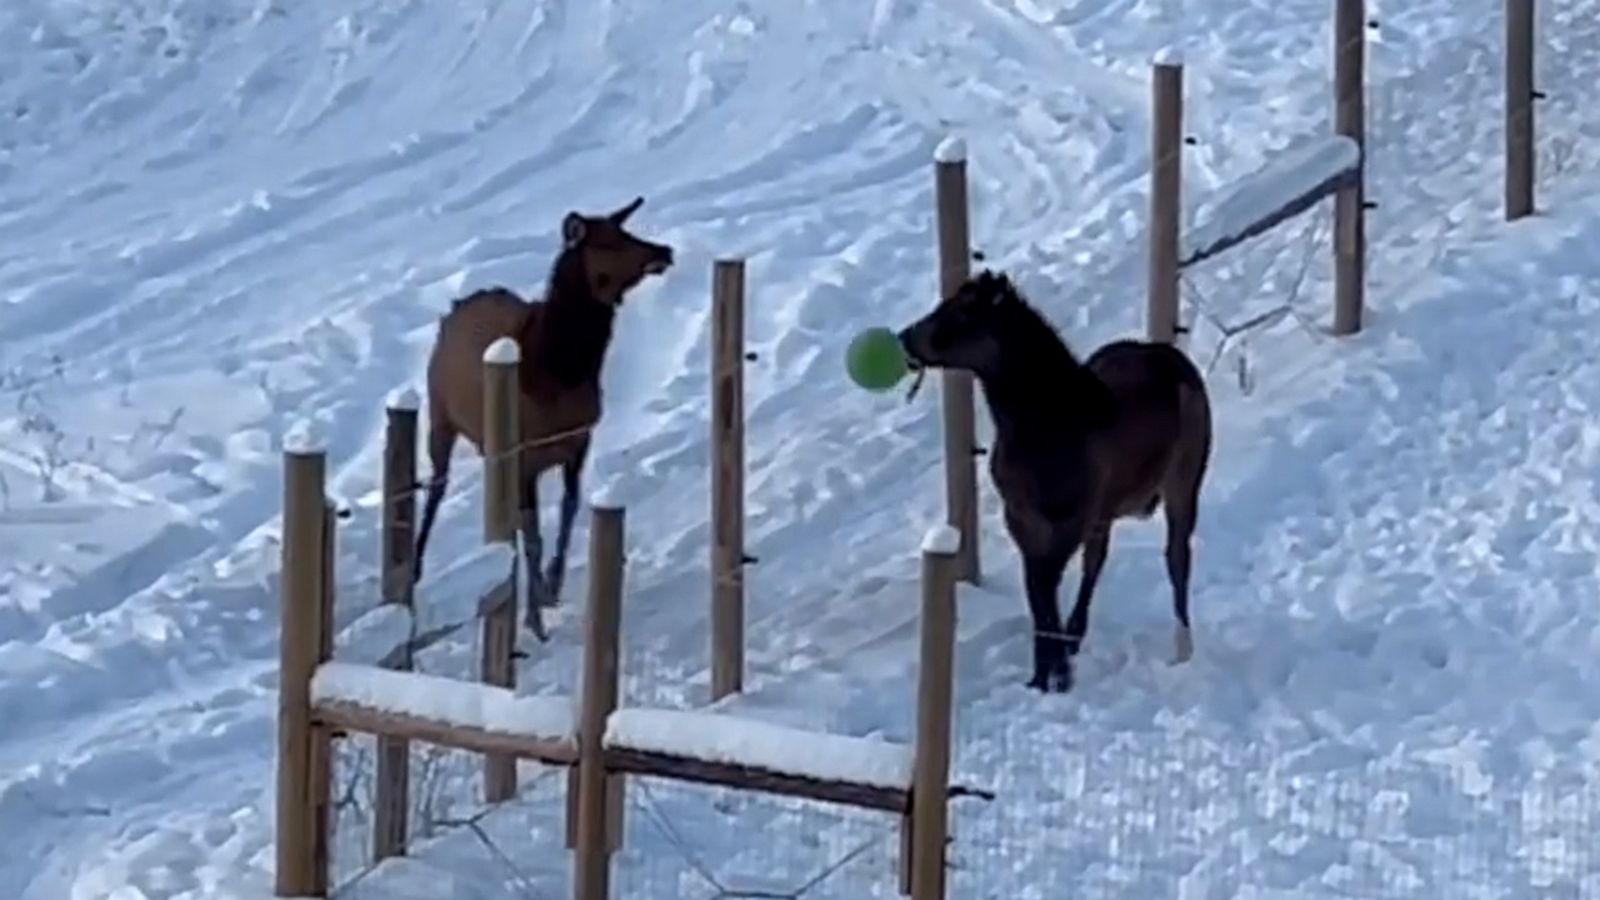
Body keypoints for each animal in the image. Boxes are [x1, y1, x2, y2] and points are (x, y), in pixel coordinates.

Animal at [413, 197, 674, 635]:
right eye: (607, 242)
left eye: (626, 230)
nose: (664, 251)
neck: (558, 372)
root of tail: (455, 307)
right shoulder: (524, 457)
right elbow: (533, 536)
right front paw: (534, 617)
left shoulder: (577, 443)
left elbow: (568, 510)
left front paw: (551, 586)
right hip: (441, 419)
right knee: (435, 490)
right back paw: (414, 569)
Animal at [896, 268, 1212, 693]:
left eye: (964, 314)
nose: (905, 338)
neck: (1049, 427)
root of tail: (1175, 360)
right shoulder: (1022, 520)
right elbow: (1038, 593)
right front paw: (1043, 674)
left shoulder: (1067, 523)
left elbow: (1045, 586)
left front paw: (1058, 674)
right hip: (1105, 513)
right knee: (1095, 564)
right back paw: (1076, 636)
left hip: (1181, 486)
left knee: (1176, 558)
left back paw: (1182, 648)